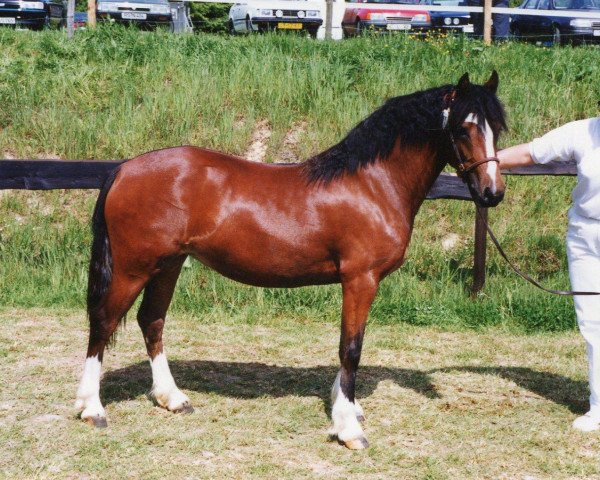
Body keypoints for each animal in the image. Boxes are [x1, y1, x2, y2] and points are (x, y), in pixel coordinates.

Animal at [75, 71, 506, 450]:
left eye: (496, 129)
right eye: (463, 128)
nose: (492, 193)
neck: (372, 184)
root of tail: (123, 169)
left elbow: (347, 345)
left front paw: (345, 407)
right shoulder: (360, 279)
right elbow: (351, 347)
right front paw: (349, 429)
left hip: (169, 264)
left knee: (152, 321)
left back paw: (172, 398)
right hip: (133, 267)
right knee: (103, 322)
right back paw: (91, 408)